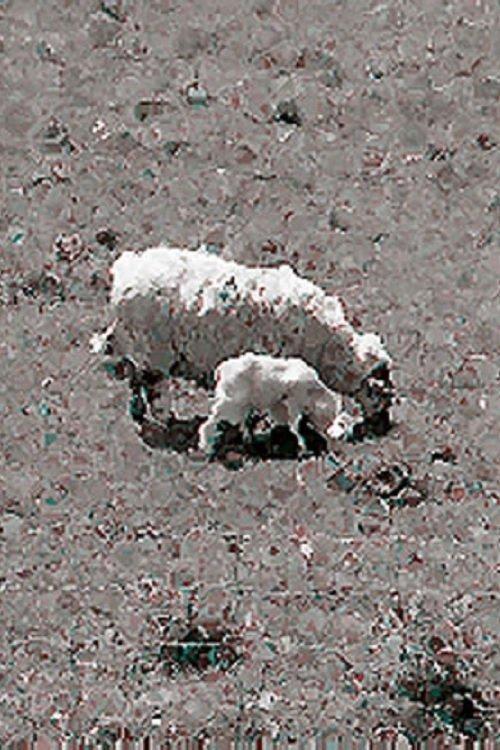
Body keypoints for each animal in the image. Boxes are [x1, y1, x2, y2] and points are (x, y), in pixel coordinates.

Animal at [93, 245, 393, 424]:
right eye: (382, 390)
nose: (382, 425)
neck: (329, 347)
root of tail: (124, 276)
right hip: (156, 349)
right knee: (152, 383)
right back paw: (165, 417)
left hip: (138, 344)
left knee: (135, 376)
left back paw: (139, 412)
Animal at [198, 352, 344, 455]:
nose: (335, 451)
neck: (313, 391)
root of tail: (222, 369)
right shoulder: (294, 402)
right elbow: (295, 425)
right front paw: (303, 446)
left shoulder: (280, 404)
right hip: (231, 403)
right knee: (212, 420)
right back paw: (207, 446)